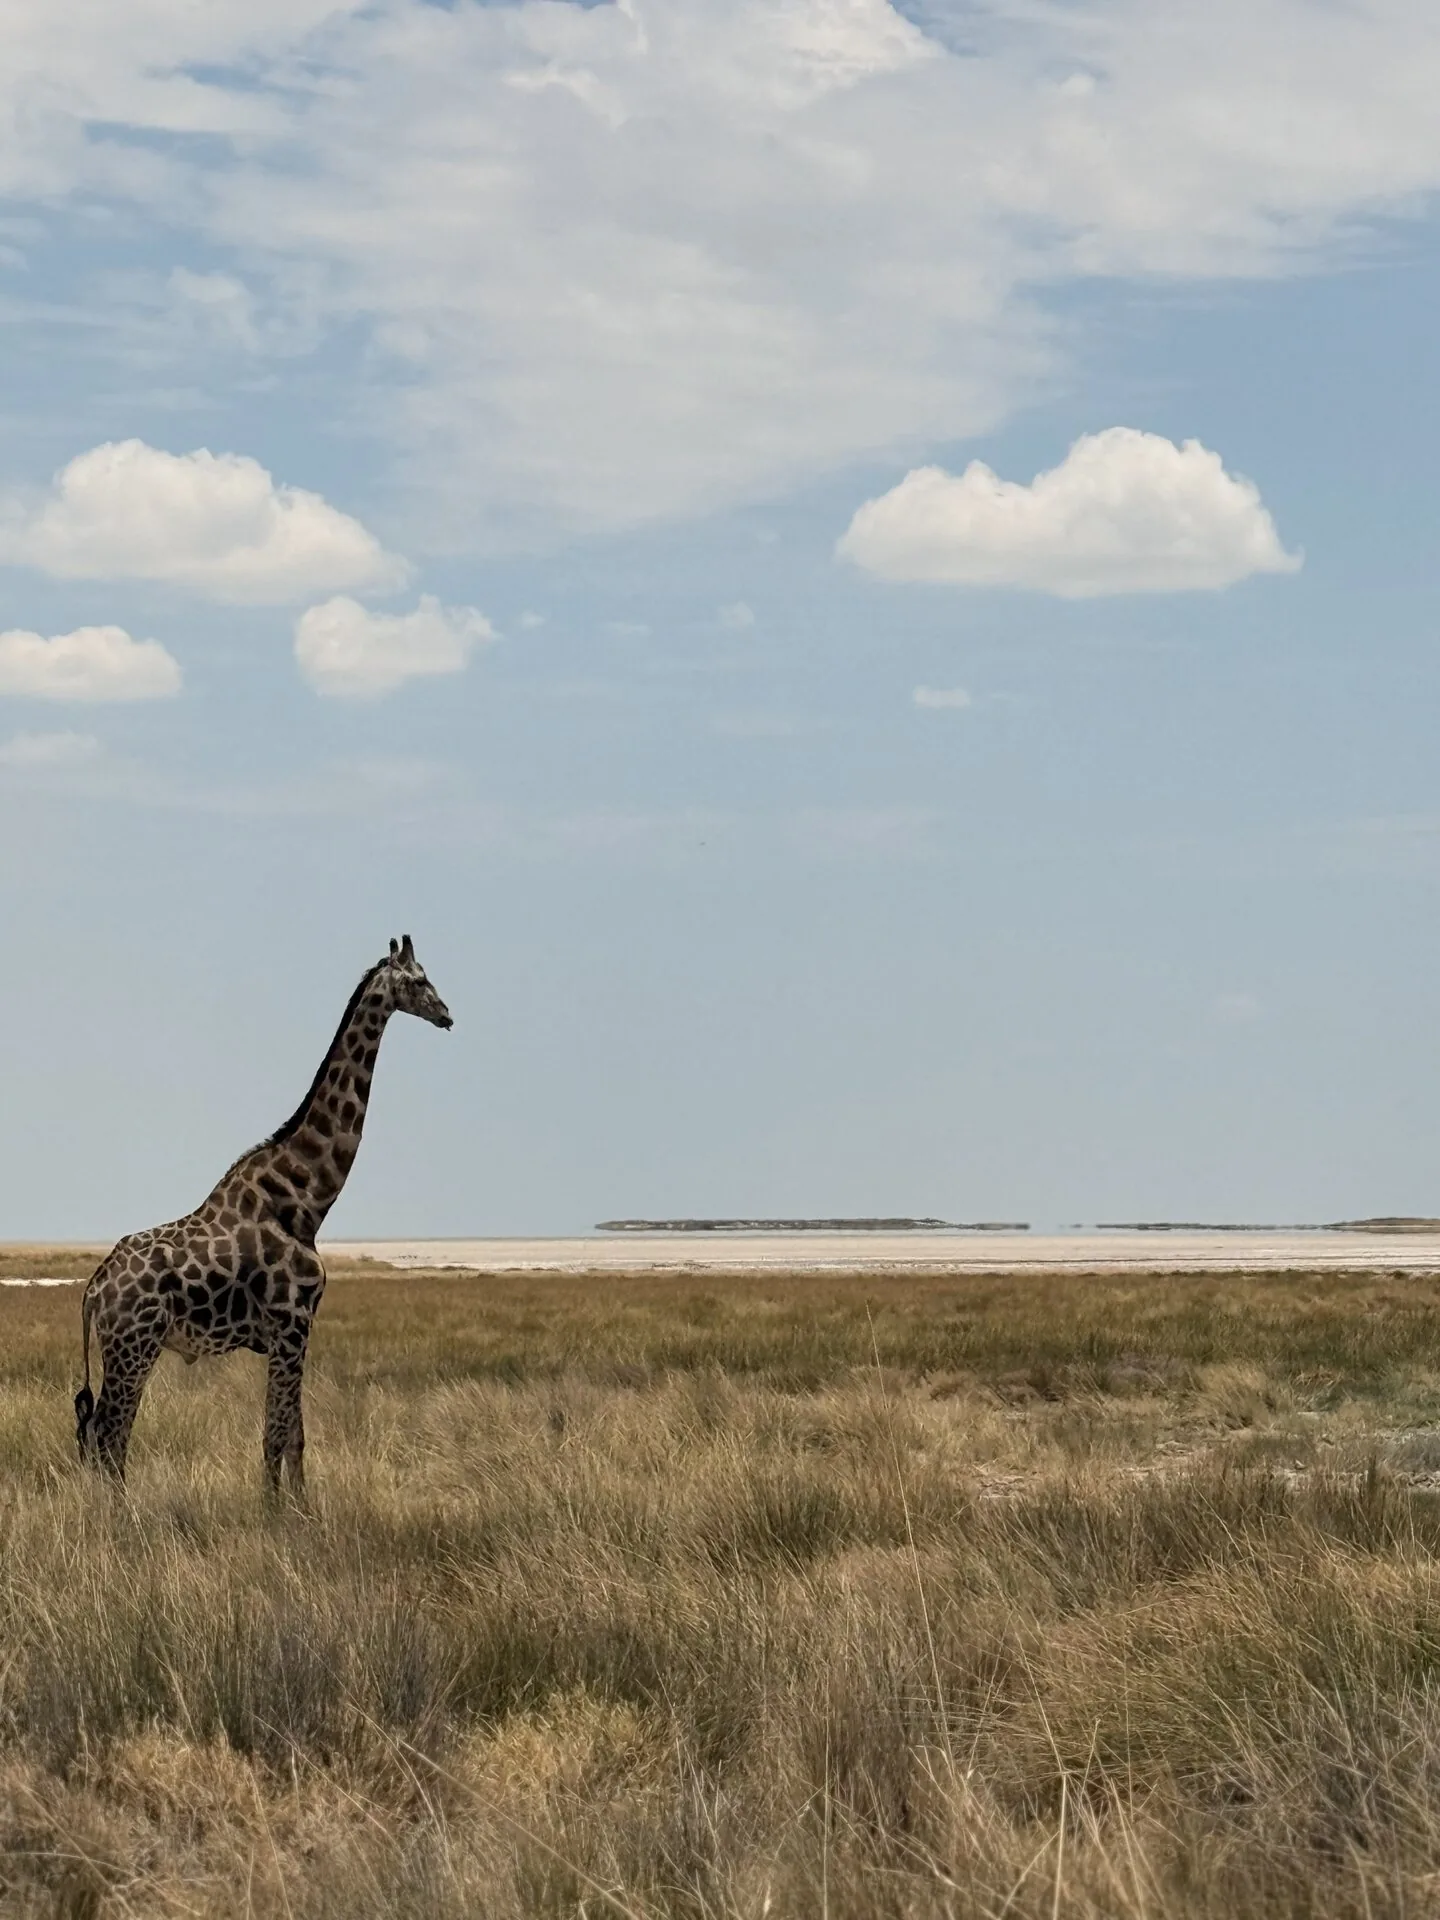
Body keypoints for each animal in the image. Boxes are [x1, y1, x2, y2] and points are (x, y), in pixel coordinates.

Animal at [74, 935, 452, 1493]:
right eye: (420, 979)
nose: (447, 1015)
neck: (307, 1199)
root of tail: (93, 1290)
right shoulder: (292, 1323)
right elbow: (276, 1433)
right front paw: (276, 1509)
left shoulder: (291, 1331)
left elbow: (293, 1435)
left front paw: (296, 1504)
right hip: (134, 1345)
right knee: (109, 1435)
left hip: (124, 1348)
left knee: (97, 1434)